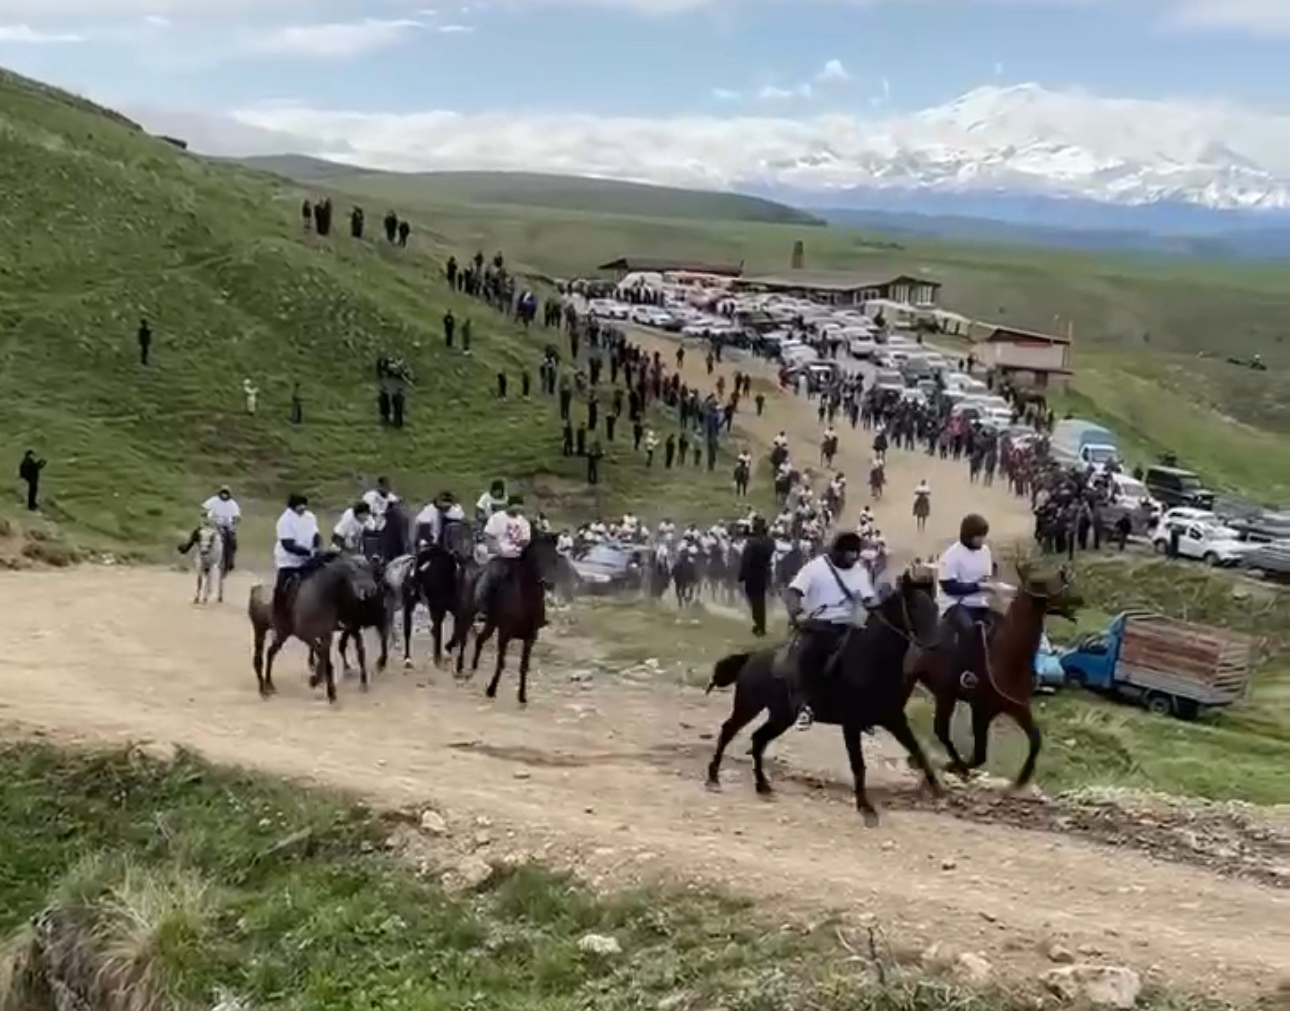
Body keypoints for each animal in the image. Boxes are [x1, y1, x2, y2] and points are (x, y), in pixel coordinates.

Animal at [243, 551, 379, 701]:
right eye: (354, 570)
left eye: (371, 569)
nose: (372, 589)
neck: (320, 594)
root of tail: (256, 588)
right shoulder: (305, 634)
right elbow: (322, 654)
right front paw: (318, 682)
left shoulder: (328, 633)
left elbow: (327, 656)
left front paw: (326, 687)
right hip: (260, 629)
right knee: (258, 658)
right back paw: (263, 690)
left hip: (282, 634)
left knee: (270, 653)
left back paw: (270, 685)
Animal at [448, 533, 559, 706]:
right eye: (537, 556)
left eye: (554, 557)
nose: (548, 581)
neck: (524, 601)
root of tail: (467, 563)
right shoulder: (504, 634)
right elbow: (501, 662)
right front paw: (491, 690)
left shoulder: (530, 638)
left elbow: (524, 666)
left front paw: (522, 696)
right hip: (468, 614)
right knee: (464, 637)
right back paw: (459, 667)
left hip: (491, 623)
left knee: (479, 639)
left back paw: (473, 666)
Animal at [701, 564, 944, 825]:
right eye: (915, 605)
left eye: (935, 606)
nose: (934, 644)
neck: (871, 660)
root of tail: (752, 658)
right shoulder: (852, 723)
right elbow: (859, 765)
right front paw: (865, 808)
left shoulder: (894, 718)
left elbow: (918, 751)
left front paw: (938, 789)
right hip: (748, 705)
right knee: (729, 731)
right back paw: (713, 778)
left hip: (781, 716)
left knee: (758, 739)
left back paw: (763, 786)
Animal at [903, 559, 1083, 789]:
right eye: (1039, 582)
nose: (1079, 599)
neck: (1006, 659)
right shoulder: (981, 710)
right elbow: (980, 755)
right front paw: (954, 767)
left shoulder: (1018, 707)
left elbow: (1035, 740)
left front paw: (1022, 779)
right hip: (939, 692)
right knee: (940, 730)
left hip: (944, 695)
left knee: (940, 731)